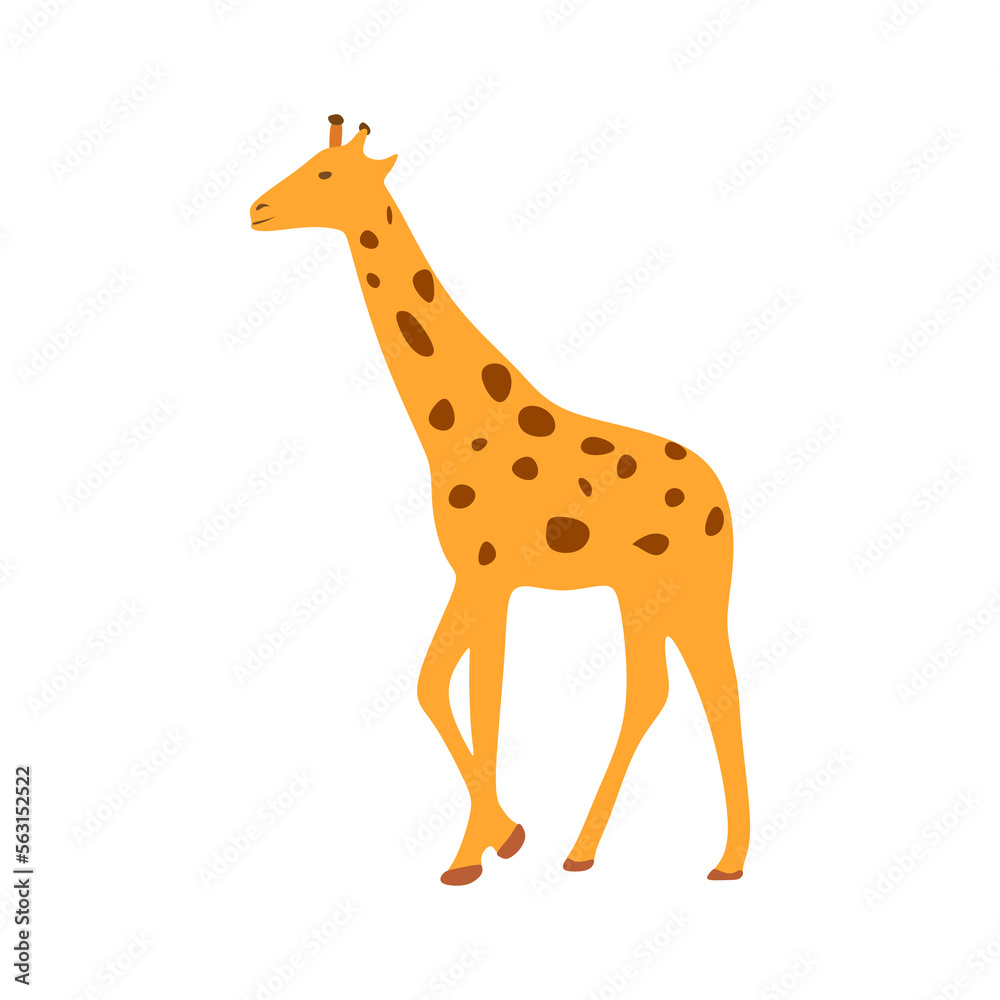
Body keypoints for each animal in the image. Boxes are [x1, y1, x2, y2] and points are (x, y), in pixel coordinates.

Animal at [249, 115, 750, 886]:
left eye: (326, 175)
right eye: (307, 163)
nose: (258, 209)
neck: (456, 425)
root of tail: (722, 496)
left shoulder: (492, 573)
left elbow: (482, 694)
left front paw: (476, 853)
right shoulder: (470, 574)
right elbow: (433, 685)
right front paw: (500, 837)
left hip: (680, 587)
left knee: (692, 692)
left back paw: (690, 857)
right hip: (655, 593)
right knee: (678, 691)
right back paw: (630, 854)